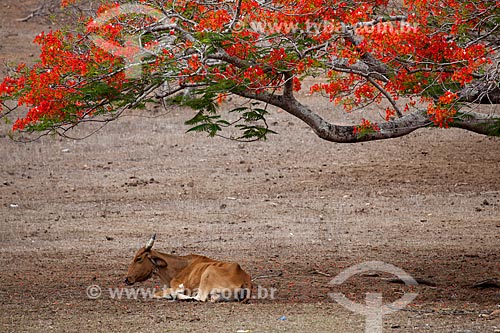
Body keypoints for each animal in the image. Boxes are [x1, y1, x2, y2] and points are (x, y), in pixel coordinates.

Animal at [123, 233, 252, 300]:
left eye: (139, 258)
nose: (127, 279)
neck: (180, 266)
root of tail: (245, 280)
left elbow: (156, 293)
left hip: (207, 274)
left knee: (198, 298)